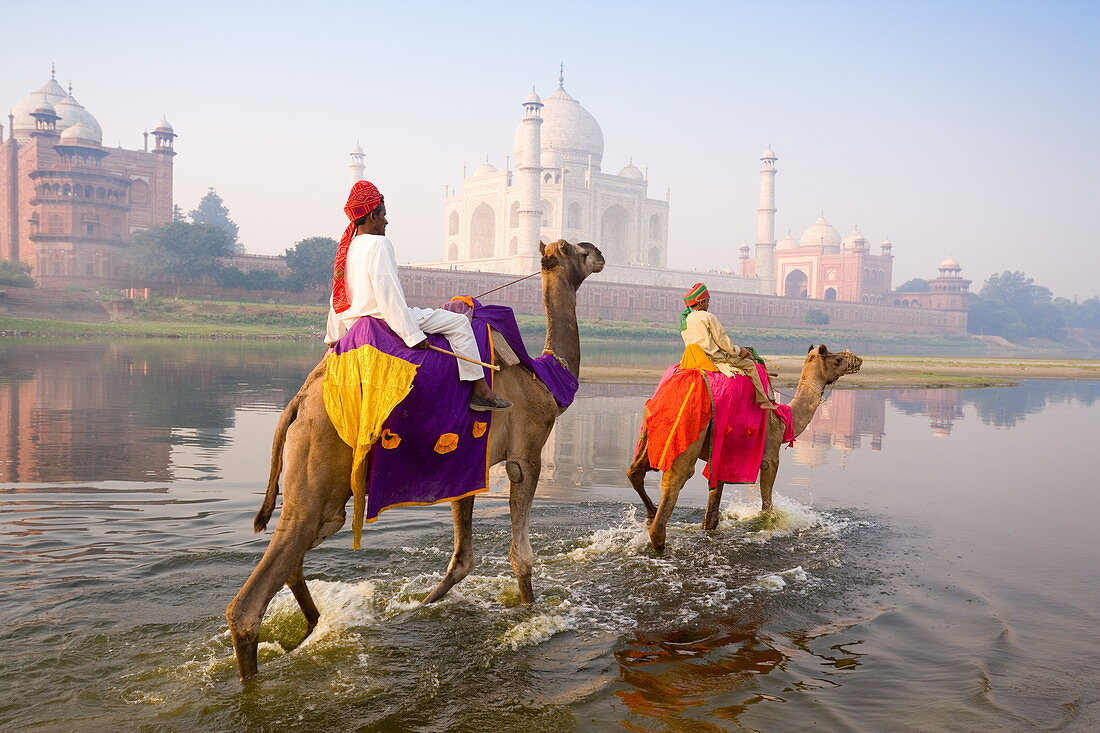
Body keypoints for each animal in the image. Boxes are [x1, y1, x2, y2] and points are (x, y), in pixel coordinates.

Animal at [224, 241, 602, 677]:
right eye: (576, 250)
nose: (599, 253)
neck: (543, 378)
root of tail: (298, 403)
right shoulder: (526, 454)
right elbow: (520, 555)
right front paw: (528, 610)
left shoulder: (465, 465)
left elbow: (461, 559)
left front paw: (417, 607)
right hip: (319, 468)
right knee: (251, 603)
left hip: (325, 492)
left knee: (296, 559)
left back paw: (313, 629)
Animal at [629, 345, 858, 550]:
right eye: (837, 359)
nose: (855, 359)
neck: (785, 419)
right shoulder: (770, 455)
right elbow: (767, 506)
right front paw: (767, 526)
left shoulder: (721, 456)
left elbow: (711, 516)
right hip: (687, 430)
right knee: (675, 480)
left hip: (649, 429)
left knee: (634, 472)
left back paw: (650, 512)